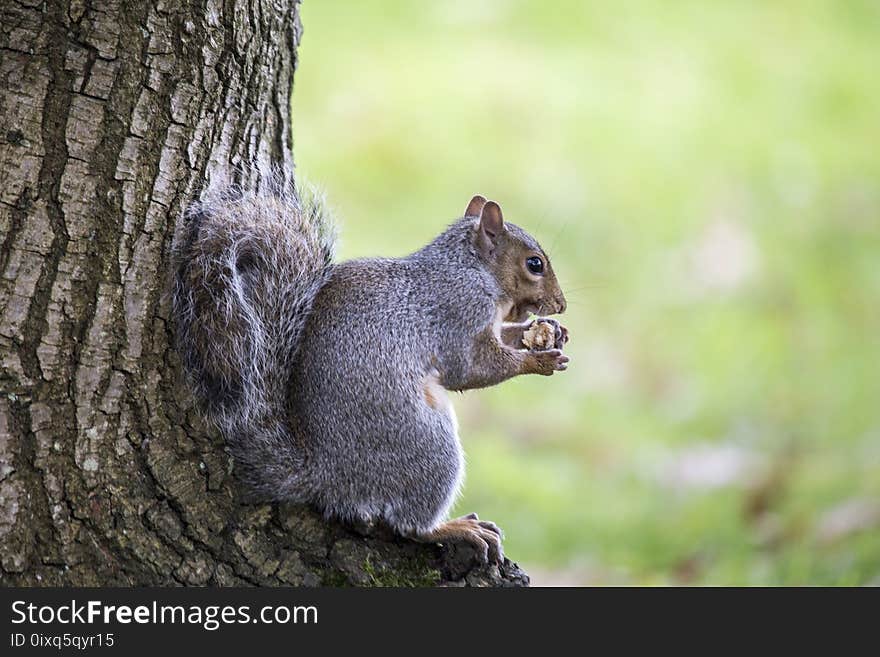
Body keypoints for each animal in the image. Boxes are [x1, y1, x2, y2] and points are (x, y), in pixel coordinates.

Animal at [172, 177, 572, 560]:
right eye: (534, 263)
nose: (562, 305)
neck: (469, 268)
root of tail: (325, 475)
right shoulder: (459, 312)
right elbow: (471, 369)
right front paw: (538, 360)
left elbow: (503, 336)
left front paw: (547, 332)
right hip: (430, 448)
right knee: (410, 526)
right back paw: (454, 528)